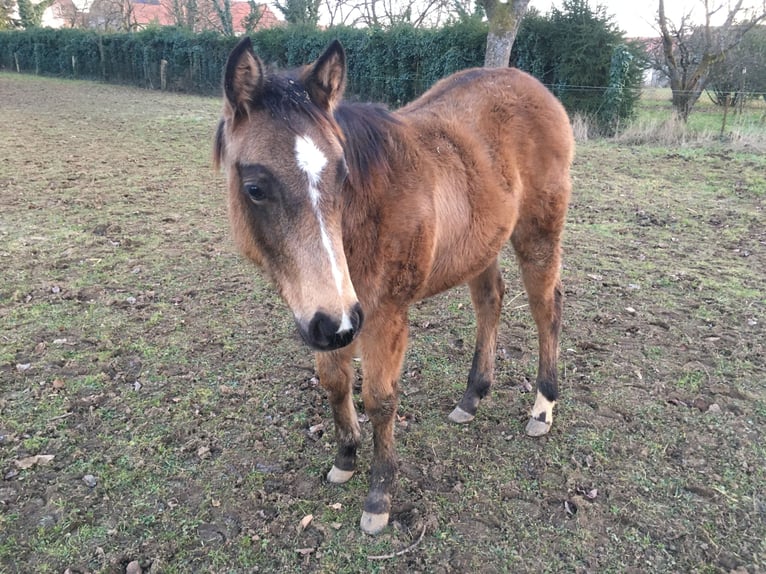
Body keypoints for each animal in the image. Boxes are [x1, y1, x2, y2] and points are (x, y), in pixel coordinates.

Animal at [214, 37, 573, 535]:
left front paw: (379, 496)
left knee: (546, 307)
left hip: (538, 234)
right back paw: (471, 397)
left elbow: (380, 399)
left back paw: (542, 408)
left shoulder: (383, 315)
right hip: (481, 244)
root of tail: (538, 90)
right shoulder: (333, 319)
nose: (336, 322)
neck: (364, 219)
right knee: (491, 301)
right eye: (254, 188)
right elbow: (334, 382)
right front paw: (345, 458)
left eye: (342, 174)